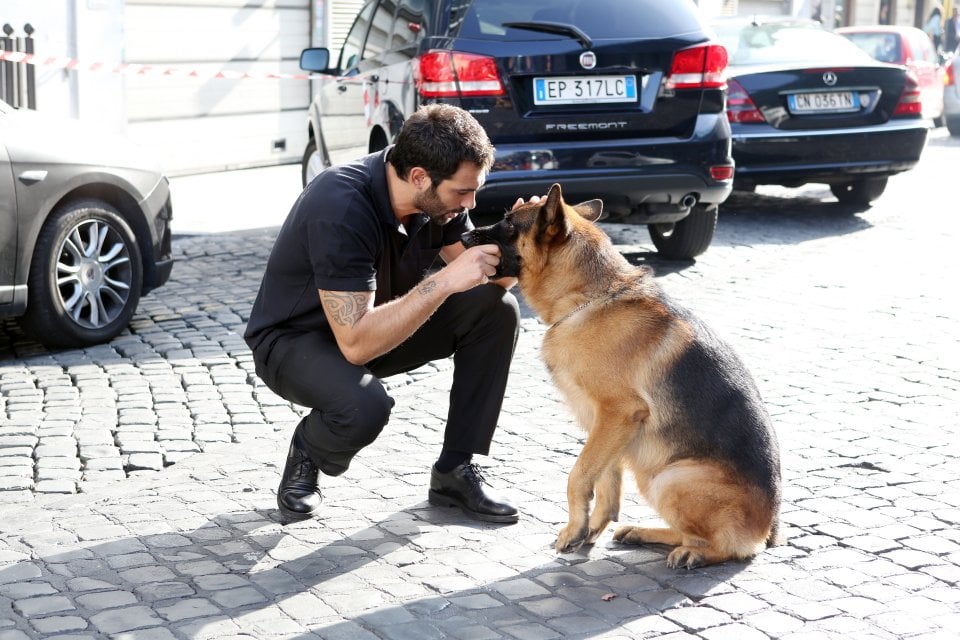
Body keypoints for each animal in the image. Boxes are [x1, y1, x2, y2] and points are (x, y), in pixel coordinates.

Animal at [462, 182, 784, 568]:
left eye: (509, 224)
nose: (462, 235)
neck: (589, 297)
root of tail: (767, 529)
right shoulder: (606, 425)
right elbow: (606, 483)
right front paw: (590, 529)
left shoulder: (617, 415)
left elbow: (579, 475)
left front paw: (574, 529)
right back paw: (643, 532)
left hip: (669, 477)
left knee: (726, 547)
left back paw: (692, 553)